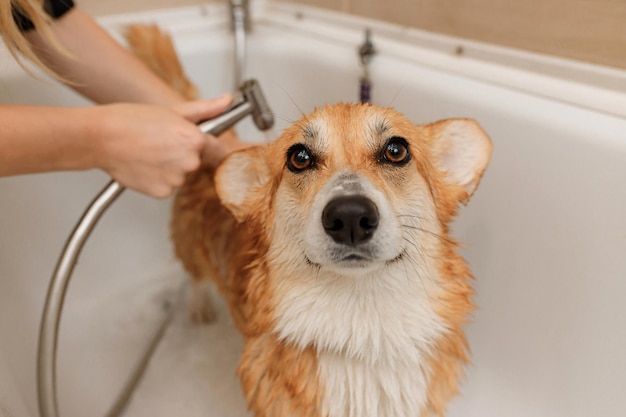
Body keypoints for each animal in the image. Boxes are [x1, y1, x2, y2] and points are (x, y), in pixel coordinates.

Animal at [124, 22, 490, 416]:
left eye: (396, 150)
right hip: (191, 246)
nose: (350, 216)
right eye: (299, 157)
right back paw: (200, 308)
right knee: (195, 276)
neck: (362, 322)